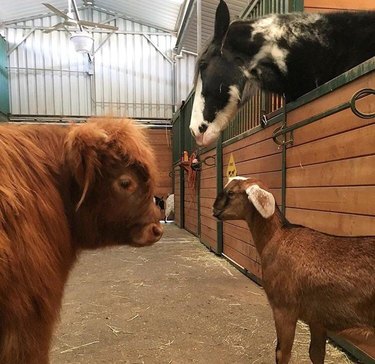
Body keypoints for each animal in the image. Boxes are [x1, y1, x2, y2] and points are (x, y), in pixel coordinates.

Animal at [214, 176, 375, 362]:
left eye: (231, 193)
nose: (214, 210)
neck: (277, 237)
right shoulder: (317, 319)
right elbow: (316, 353)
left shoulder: (284, 309)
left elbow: (282, 353)